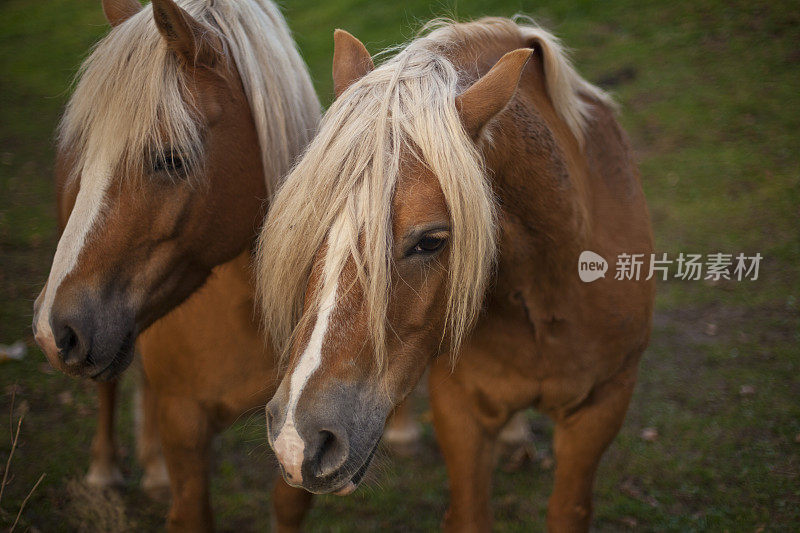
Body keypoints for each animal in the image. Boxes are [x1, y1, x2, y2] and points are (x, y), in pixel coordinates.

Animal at [260, 18, 652, 528]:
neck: (550, 292)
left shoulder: (602, 406)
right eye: (306, 227)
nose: (298, 440)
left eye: (430, 241)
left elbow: (569, 510)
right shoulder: (459, 409)